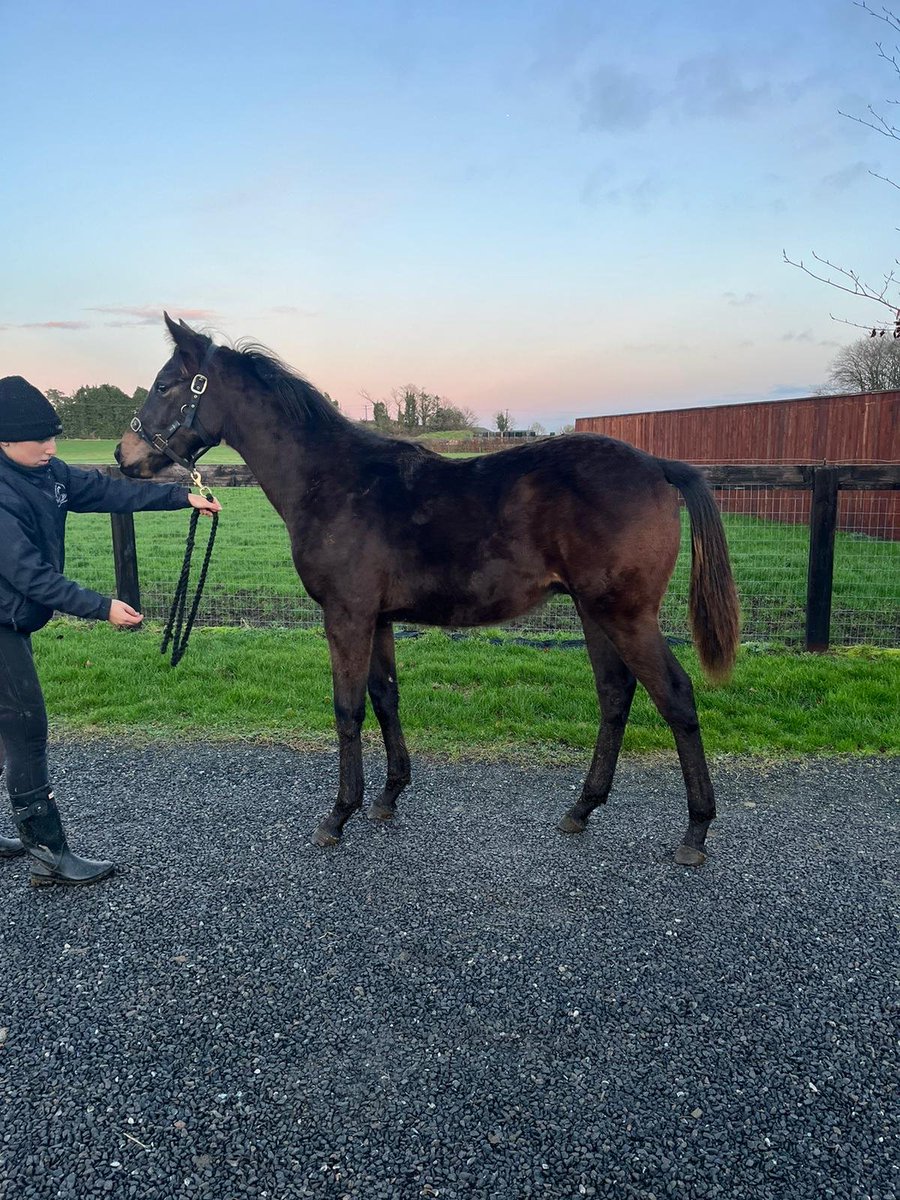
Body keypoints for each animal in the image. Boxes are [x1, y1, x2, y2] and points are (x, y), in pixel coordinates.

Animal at [116, 314, 740, 865]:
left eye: (166, 385)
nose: (124, 455)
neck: (334, 480)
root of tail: (658, 466)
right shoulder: (378, 617)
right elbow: (384, 696)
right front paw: (388, 797)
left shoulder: (346, 614)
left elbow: (347, 708)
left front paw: (338, 815)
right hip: (594, 612)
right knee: (615, 694)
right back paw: (581, 809)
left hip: (626, 614)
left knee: (676, 696)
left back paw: (695, 831)